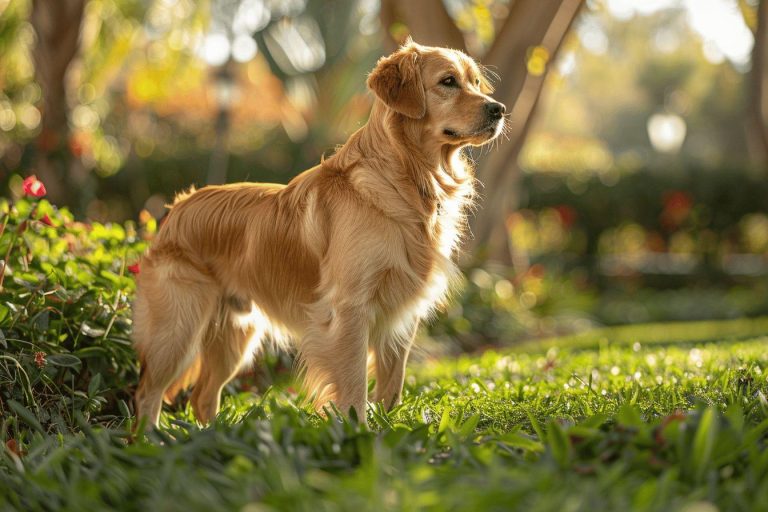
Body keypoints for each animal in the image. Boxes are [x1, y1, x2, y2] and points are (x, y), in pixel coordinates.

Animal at [134, 40, 504, 426]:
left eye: (476, 82)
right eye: (448, 81)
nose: (500, 110)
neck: (407, 180)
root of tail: (175, 209)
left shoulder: (400, 313)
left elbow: (393, 383)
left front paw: (389, 424)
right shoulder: (350, 308)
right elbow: (354, 383)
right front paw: (359, 430)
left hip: (235, 333)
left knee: (203, 397)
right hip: (177, 329)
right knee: (147, 393)